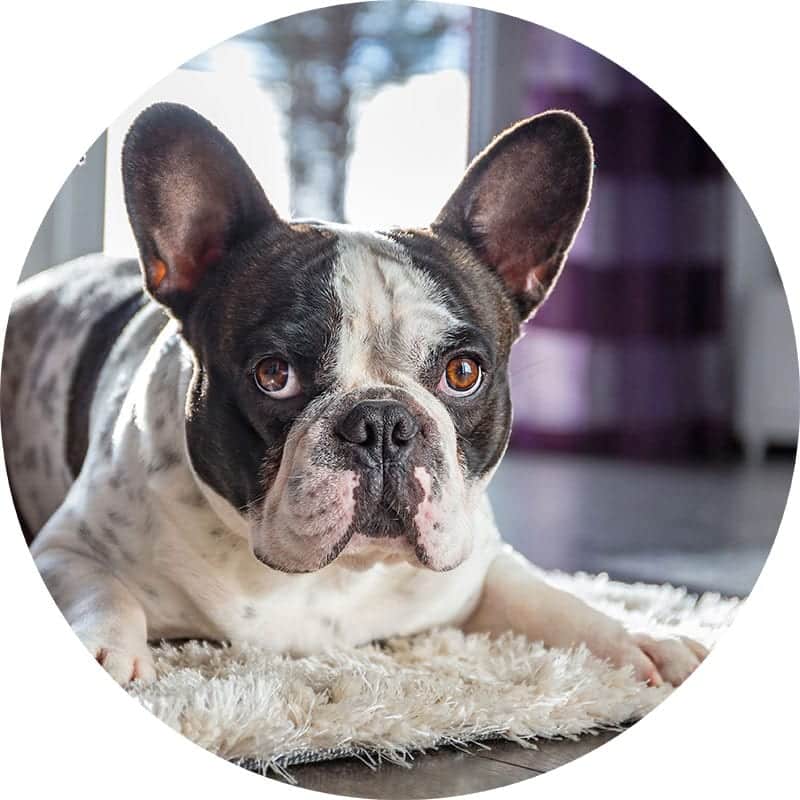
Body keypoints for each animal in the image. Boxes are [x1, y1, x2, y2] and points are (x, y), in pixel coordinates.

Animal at [1, 103, 708, 684]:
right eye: (274, 375)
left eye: (463, 373)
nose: (382, 424)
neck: (333, 579)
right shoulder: (66, 547)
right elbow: (105, 592)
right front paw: (102, 653)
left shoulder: (481, 564)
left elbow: (553, 600)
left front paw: (640, 638)